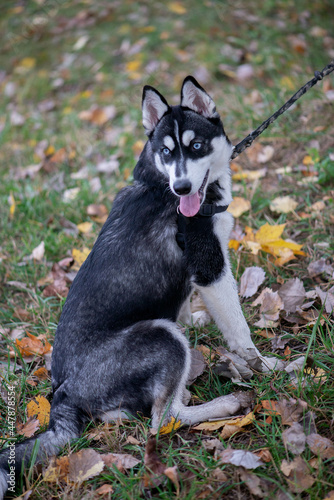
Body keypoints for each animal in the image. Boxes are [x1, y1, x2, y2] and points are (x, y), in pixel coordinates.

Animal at [0, 76, 282, 498]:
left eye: (195, 146)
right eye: (166, 152)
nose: (182, 187)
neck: (160, 185)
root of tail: (61, 394)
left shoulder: (200, 272)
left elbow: (191, 304)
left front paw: (197, 319)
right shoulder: (210, 267)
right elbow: (239, 329)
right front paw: (265, 366)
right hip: (163, 337)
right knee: (165, 418)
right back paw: (227, 404)